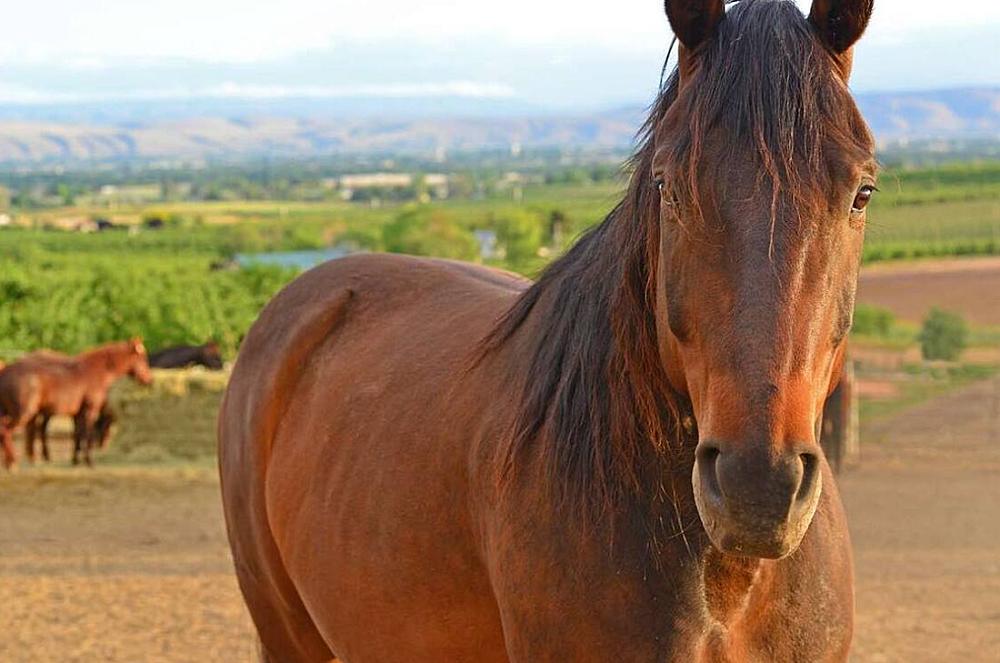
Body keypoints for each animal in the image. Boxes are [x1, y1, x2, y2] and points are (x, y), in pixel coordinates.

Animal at [0, 339, 152, 468]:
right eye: (143, 359)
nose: (149, 381)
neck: (97, 371)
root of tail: (6, 371)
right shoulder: (90, 411)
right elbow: (87, 435)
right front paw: (89, 461)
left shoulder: (78, 414)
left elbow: (77, 435)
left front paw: (75, 460)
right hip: (23, 414)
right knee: (6, 431)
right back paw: (12, 463)